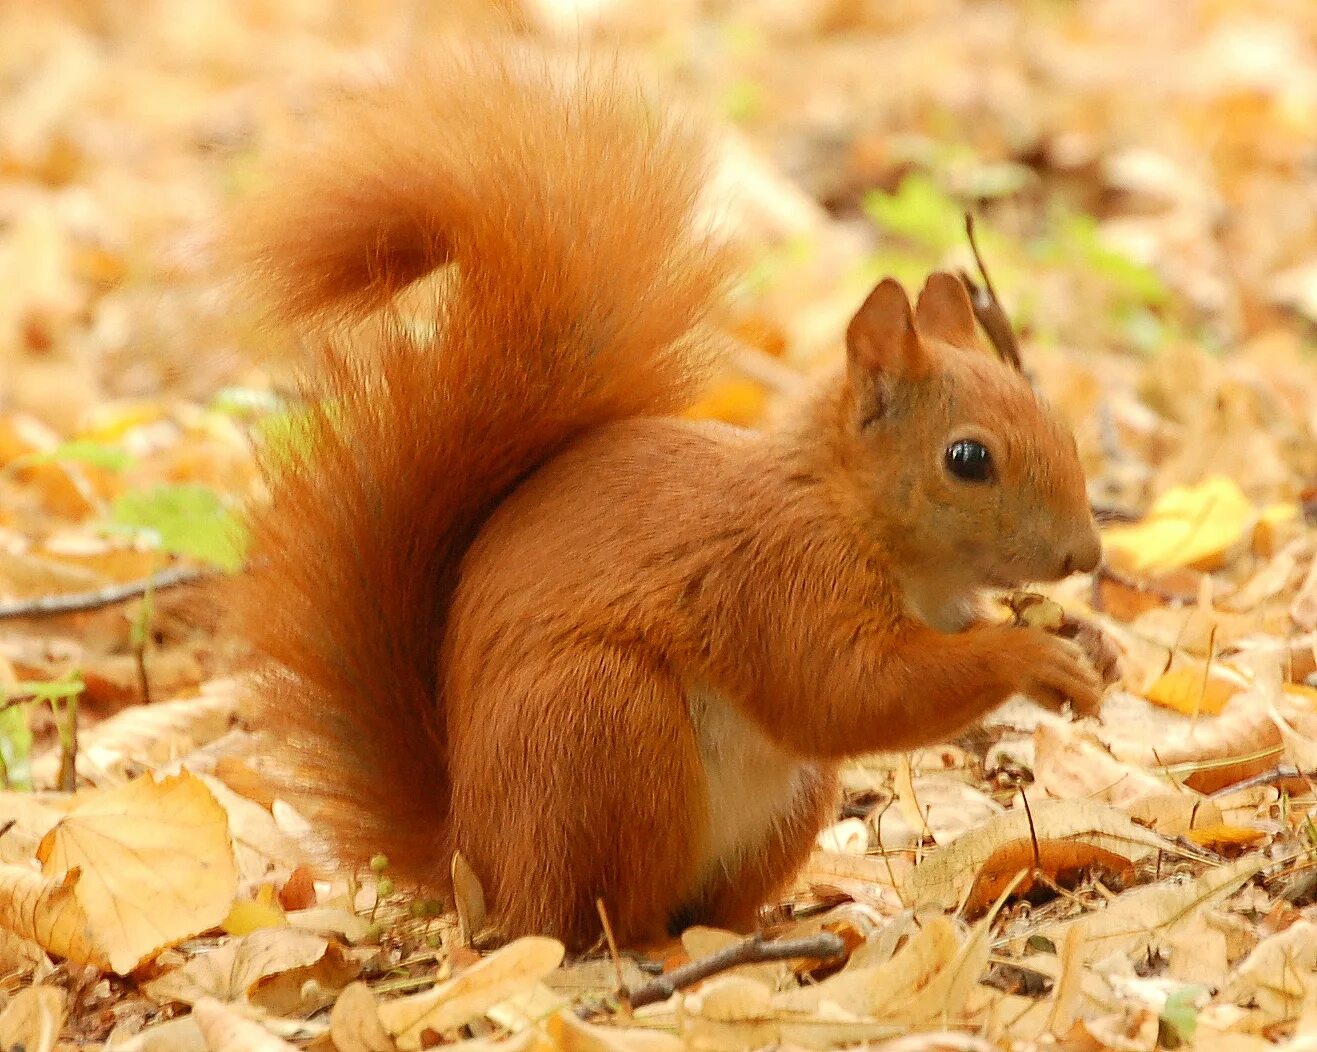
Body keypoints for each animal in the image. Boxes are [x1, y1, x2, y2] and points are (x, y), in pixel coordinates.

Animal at [227, 47, 1106, 951]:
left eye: (1047, 413)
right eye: (967, 460)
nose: (1086, 555)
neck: (853, 513)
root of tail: (476, 865)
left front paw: (1089, 648)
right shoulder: (782, 579)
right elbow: (847, 690)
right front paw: (1025, 655)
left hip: (778, 800)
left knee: (710, 900)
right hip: (606, 731)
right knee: (591, 915)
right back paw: (654, 945)